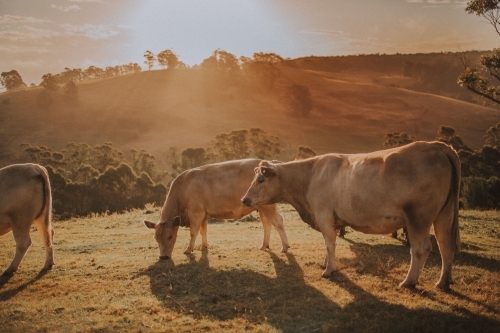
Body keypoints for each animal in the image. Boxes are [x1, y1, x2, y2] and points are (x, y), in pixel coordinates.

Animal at [143, 158, 292, 260]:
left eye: (170, 236)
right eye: (155, 237)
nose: (163, 257)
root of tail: (270, 163)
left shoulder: (195, 213)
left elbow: (193, 233)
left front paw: (188, 249)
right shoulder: (203, 215)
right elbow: (203, 231)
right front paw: (203, 246)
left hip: (267, 206)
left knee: (278, 221)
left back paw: (285, 246)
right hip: (262, 207)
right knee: (267, 224)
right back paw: (264, 245)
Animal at [242, 141, 460, 290]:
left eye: (261, 179)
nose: (244, 199)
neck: (309, 177)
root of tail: (438, 146)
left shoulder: (324, 216)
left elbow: (329, 244)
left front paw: (329, 270)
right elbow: (328, 245)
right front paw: (326, 263)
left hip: (418, 217)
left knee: (421, 249)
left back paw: (408, 281)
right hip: (444, 215)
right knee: (446, 246)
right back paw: (443, 282)